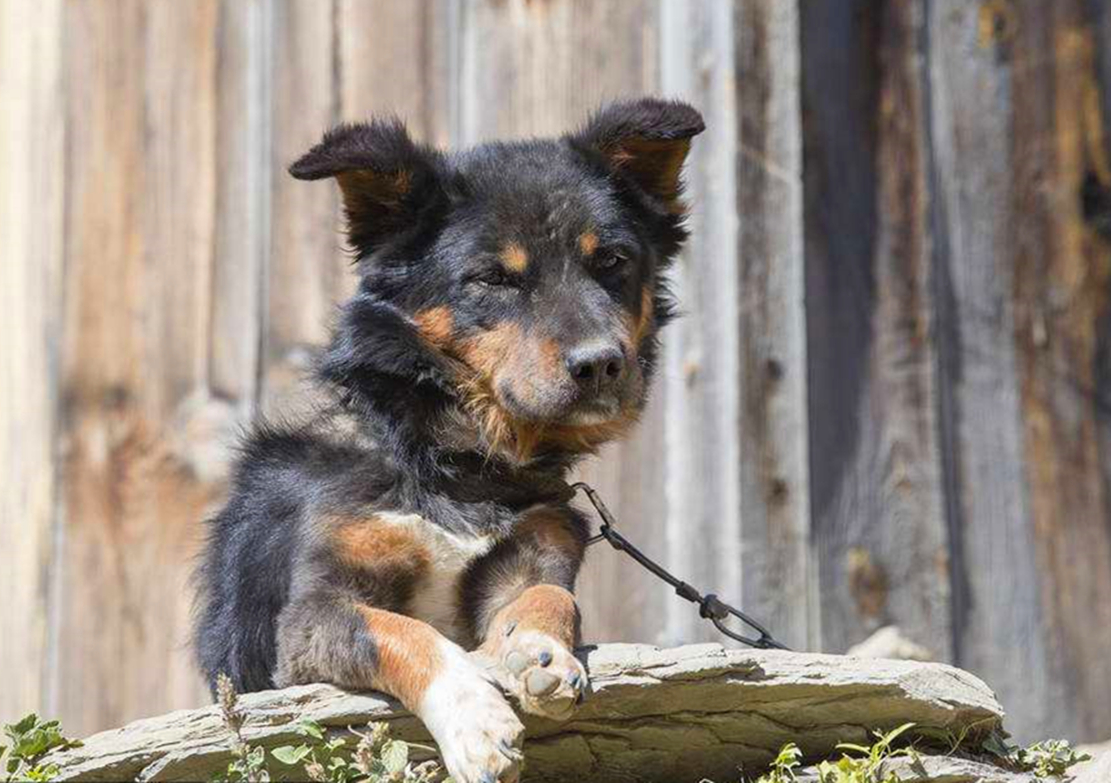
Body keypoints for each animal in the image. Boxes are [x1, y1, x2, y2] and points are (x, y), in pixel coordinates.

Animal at [193, 96, 702, 781]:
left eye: (613, 262)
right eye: (493, 279)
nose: (600, 365)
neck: (453, 459)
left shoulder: (538, 545)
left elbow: (549, 596)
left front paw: (536, 653)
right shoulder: (309, 620)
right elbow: (403, 633)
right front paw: (474, 717)